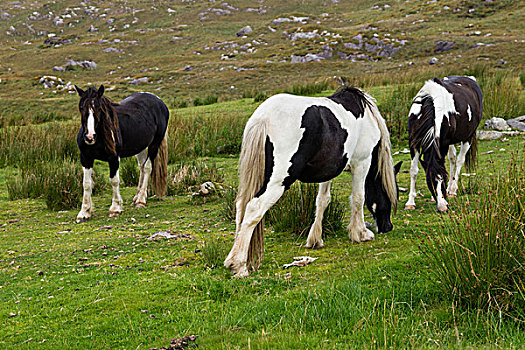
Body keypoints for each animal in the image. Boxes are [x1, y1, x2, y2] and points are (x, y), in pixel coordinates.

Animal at [74, 84, 169, 221]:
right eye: (82, 107)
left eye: (98, 108)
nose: (90, 137)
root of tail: (159, 101)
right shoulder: (86, 158)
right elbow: (86, 184)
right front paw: (84, 212)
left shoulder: (113, 158)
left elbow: (114, 181)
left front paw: (115, 209)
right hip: (140, 146)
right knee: (141, 166)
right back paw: (137, 197)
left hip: (154, 145)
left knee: (147, 167)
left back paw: (141, 200)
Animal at [224, 87, 402, 276]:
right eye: (391, 195)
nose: (388, 227)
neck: (366, 116)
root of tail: (263, 117)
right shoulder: (361, 163)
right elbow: (358, 198)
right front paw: (360, 233)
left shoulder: (329, 171)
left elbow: (322, 201)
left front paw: (315, 239)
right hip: (278, 181)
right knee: (253, 208)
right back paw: (239, 265)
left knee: (241, 208)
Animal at [404, 75, 482, 212]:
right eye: (429, 181)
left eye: (444, 179)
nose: (443, 208)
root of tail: (471, 79)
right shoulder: (414, 143)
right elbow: (414, 170)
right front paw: (410, 202)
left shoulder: (443, 143)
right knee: (453, 158)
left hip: (468, 137)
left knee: (460, 160)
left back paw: (453, 190)